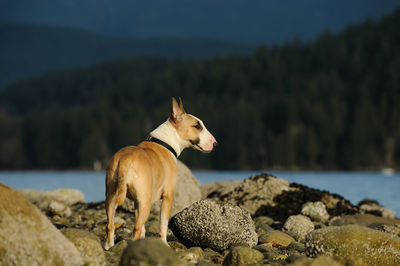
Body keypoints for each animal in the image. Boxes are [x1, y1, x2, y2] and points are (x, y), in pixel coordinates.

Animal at [103, 97, 216, 249]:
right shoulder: (168, 196)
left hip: (111, 198)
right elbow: (163, 224)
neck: (165, 142)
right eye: (197, 126)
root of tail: (125, 160)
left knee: (110, 225)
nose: (215, 143)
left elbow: (144, 228)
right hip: (145, 202)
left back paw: (109, 247)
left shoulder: (136, 203)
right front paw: (164, 244)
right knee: (136, 228)